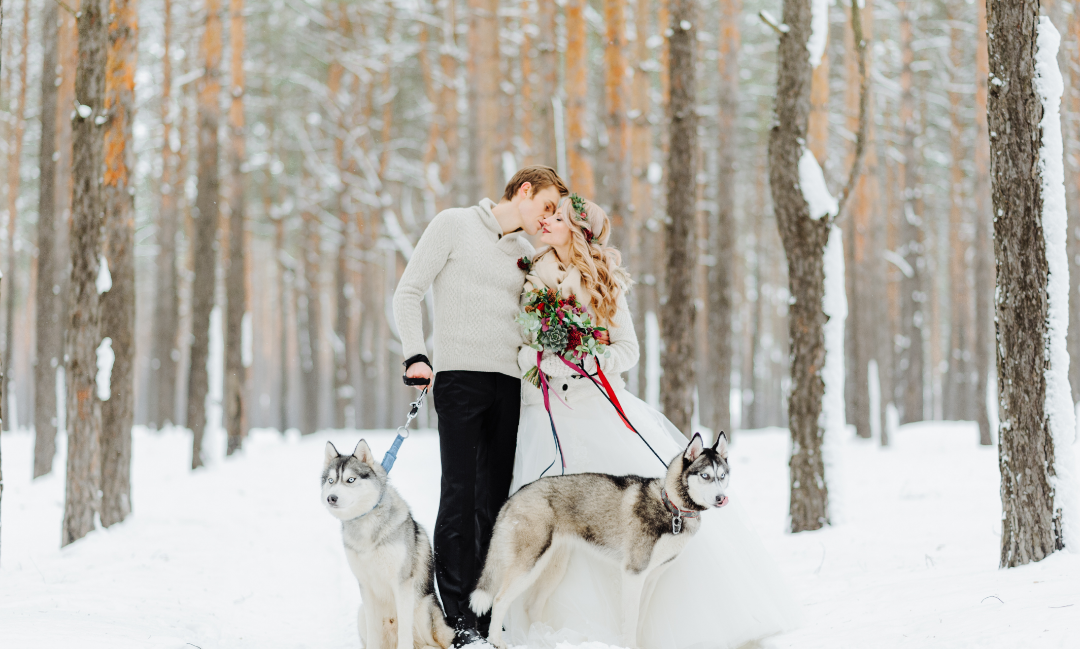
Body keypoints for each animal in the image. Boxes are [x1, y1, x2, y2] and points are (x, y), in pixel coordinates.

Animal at [319, 440, 455, 647]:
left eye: (351, 480)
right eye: (331, 481)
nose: (331, 498)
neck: (366, 524)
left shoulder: (402, 583)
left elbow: (405, 633)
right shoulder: (365, 587)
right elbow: (373, 633)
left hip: (424, 610)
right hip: (361, 613)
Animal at [470, 429, 730, 647]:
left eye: (723, 476)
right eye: (705, 475)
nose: (722, 498)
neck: (672, 507)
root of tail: (513, 497)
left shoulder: (651, 577)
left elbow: (639, 619)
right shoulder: (634, 573)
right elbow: (630, 619)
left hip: (553, 568)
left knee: (531, 605)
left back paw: (544, 638)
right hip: (528, 564)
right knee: (499, 599)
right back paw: (497, 641)